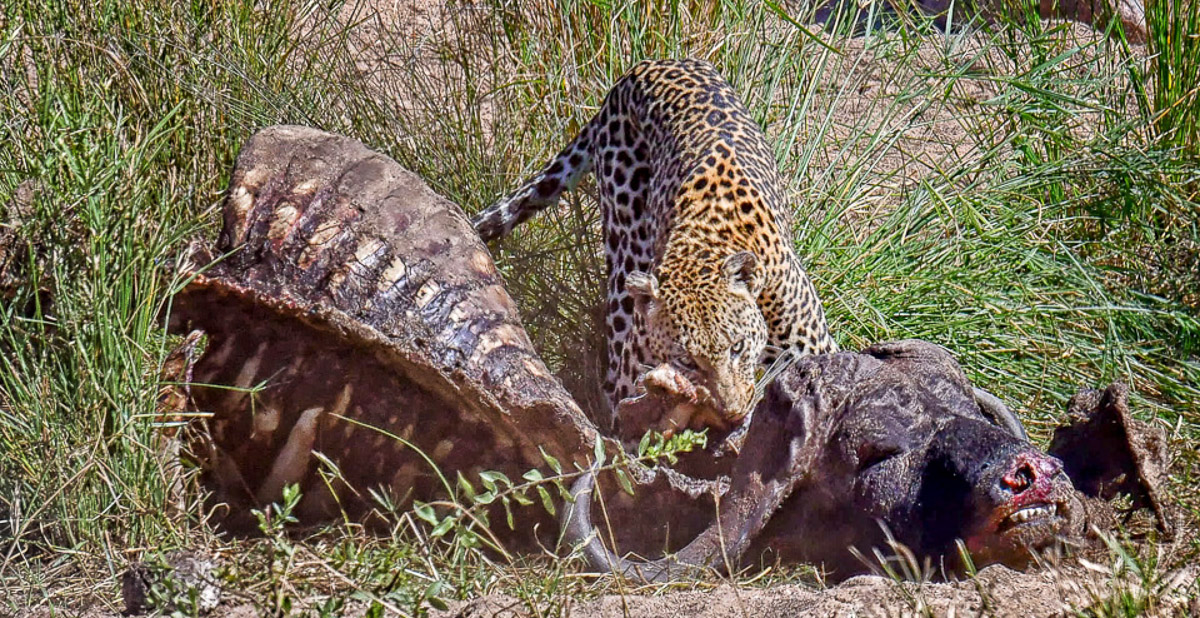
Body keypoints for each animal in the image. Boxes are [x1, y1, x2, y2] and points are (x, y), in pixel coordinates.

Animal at [473, 58, 838, 433]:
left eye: (737, 347)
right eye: (687, 361)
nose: (733, 411)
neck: (705, 245)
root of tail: (642, 67)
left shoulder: (816, 350)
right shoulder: (634, 378)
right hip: (624, 251)